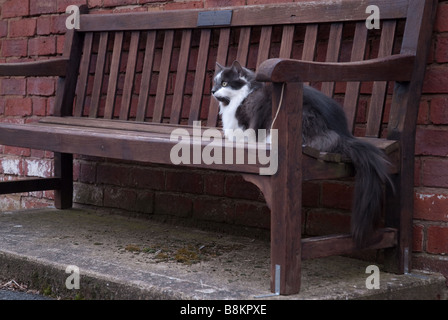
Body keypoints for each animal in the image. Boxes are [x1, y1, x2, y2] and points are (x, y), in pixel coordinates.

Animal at [212, 60, 390, 246]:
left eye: (224, 83)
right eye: (215, 83)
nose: (212, 91)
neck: (241, 97)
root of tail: (344, 135)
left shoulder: (251, 119)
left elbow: (248, 134)